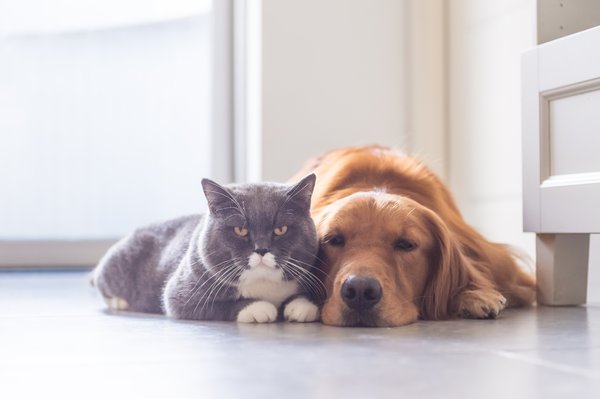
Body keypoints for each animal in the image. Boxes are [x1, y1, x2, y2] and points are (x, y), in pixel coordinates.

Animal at [91, 173, 324, 324]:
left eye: (281, 229)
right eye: (240, 230)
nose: (261, 249)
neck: (263, 283)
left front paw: (302, 305)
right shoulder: (180, 294)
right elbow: (216, 305)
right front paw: (258, 308)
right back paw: (119, 301)